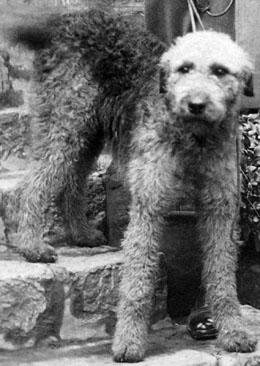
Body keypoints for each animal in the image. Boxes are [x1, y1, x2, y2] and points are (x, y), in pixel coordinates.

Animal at [8, 8, 256, 364]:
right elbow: (137, 280)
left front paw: (233, 332)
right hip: (65, 124)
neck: (192, 138)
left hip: (89, 132)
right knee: (33, 185)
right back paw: (32, 246)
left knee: (72, 183)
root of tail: (64, 21)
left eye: (220, 71)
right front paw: (128, 341)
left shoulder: (220, 208)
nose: (195, 104)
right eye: (184, 68)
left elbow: (222, 277)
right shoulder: (148, 205)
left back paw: (81, 234)